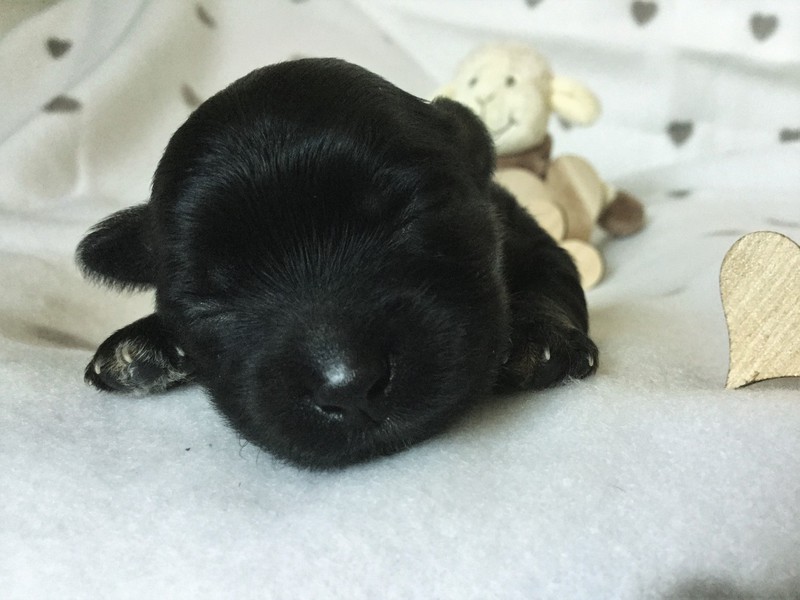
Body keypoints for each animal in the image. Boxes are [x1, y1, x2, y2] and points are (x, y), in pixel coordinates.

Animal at [77, 58, 598, 469]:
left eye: (411, 216)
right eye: (209, 300)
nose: (347, 387)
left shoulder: (531, 240)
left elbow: (551, 280)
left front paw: (540, 335)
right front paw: (143, 344)